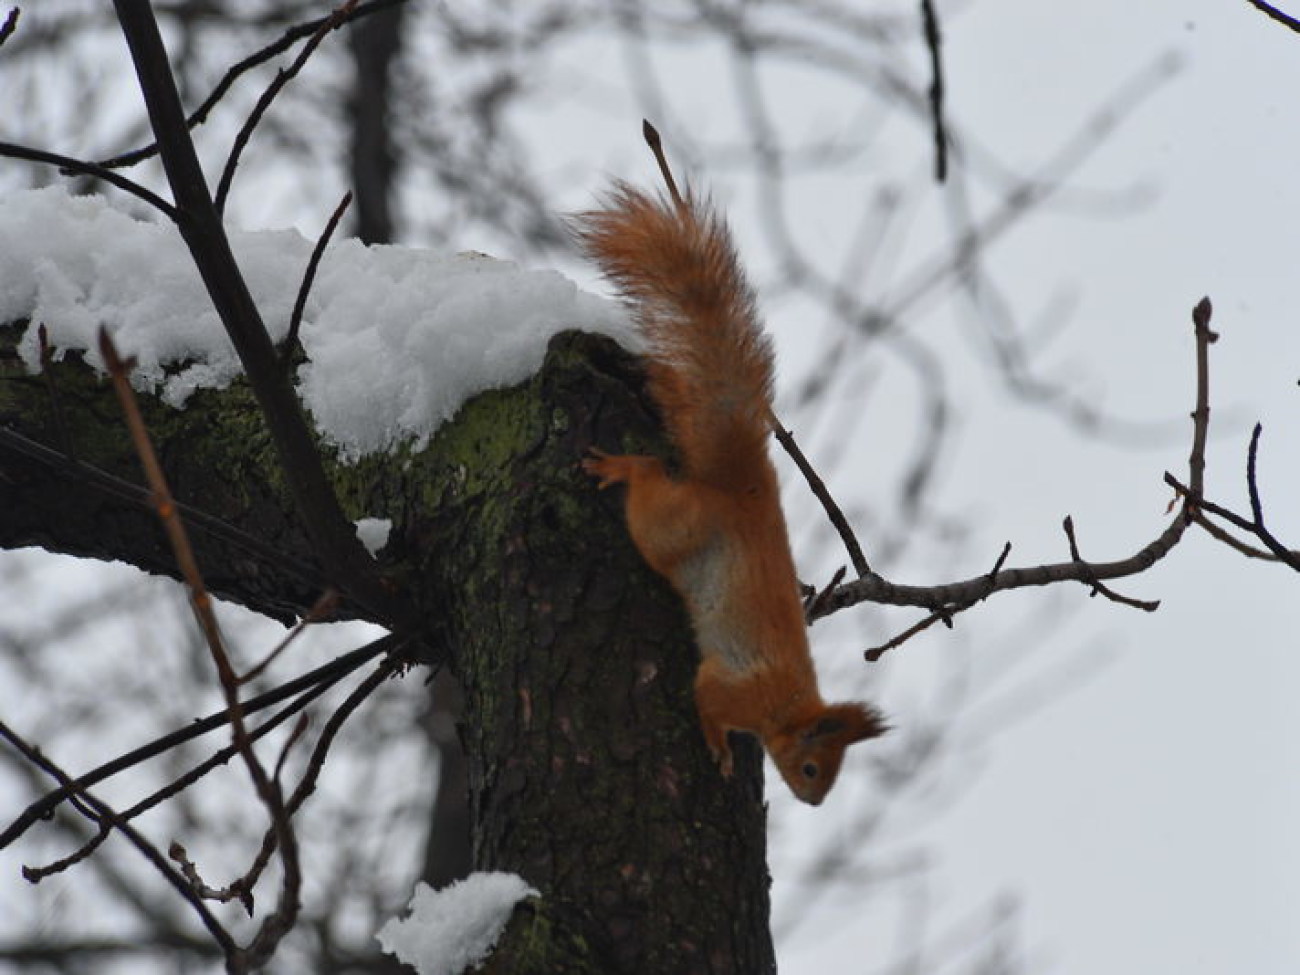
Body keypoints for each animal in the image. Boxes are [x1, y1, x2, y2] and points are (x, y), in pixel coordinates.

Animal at [577, 179, 889, 806]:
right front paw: (719, 748)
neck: (786, 706)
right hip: (670, 528)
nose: (814, 802)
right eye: (813, 769)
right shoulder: (733, 687)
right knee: (650, 481)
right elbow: (706, 700)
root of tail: (740, 492)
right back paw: (623, 468)